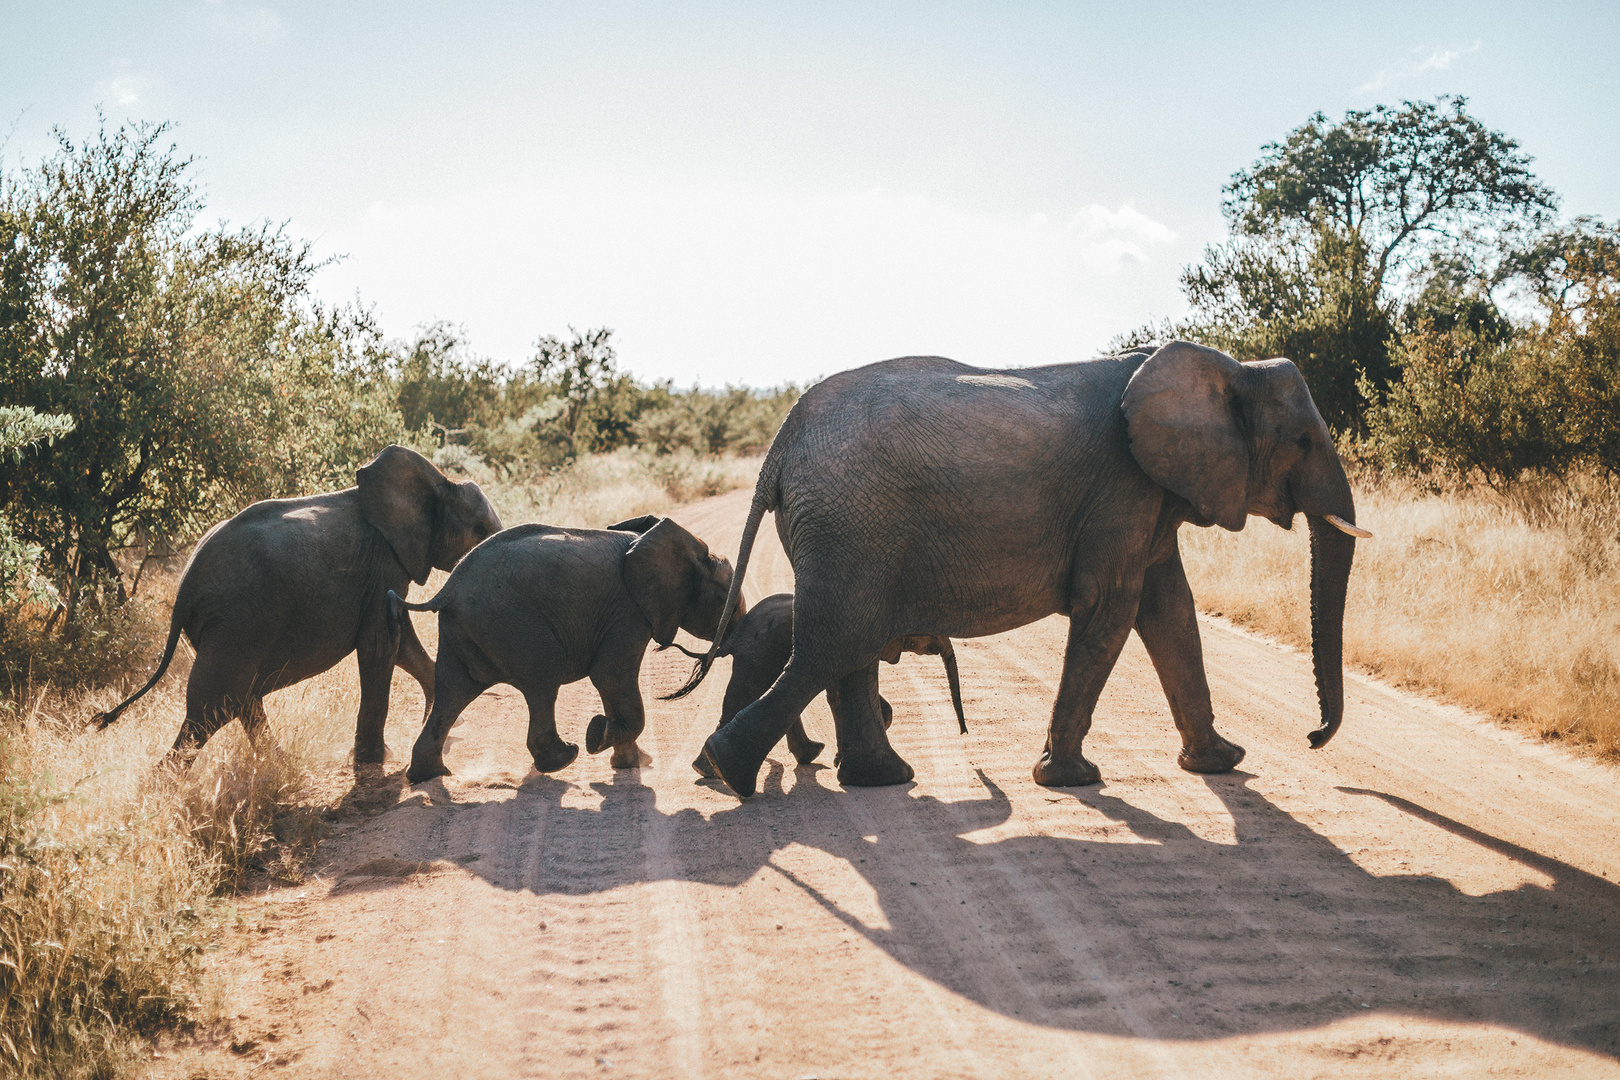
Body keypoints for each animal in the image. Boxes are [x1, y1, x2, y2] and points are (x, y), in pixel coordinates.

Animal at [94, 443, 498, 764]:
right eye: (479, 530)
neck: (439, 481)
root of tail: (182, 589)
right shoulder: (383, 560)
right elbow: (380, 644)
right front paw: (373, 761)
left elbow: (401, 643)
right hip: (235, 622)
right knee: (213, 707)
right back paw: (167, 788)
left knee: (240, 699)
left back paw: (281, 765)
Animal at [398, 514, 741, 786]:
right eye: (724, 597)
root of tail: (448, 589)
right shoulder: (628, 612)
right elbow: (610, 676)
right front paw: (598, 736)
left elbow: (610, 683)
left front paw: (631, 761)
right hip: (512, 624)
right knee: (541, 683)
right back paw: (565, 757)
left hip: (463, 630)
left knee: (452, 691)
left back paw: (429, 776)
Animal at [693, 592, 965, 777]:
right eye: (924, 637)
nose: (963, 733)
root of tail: (735, 634)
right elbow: (839, 694)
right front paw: (841, 759)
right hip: (760, 651)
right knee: (749, 693)